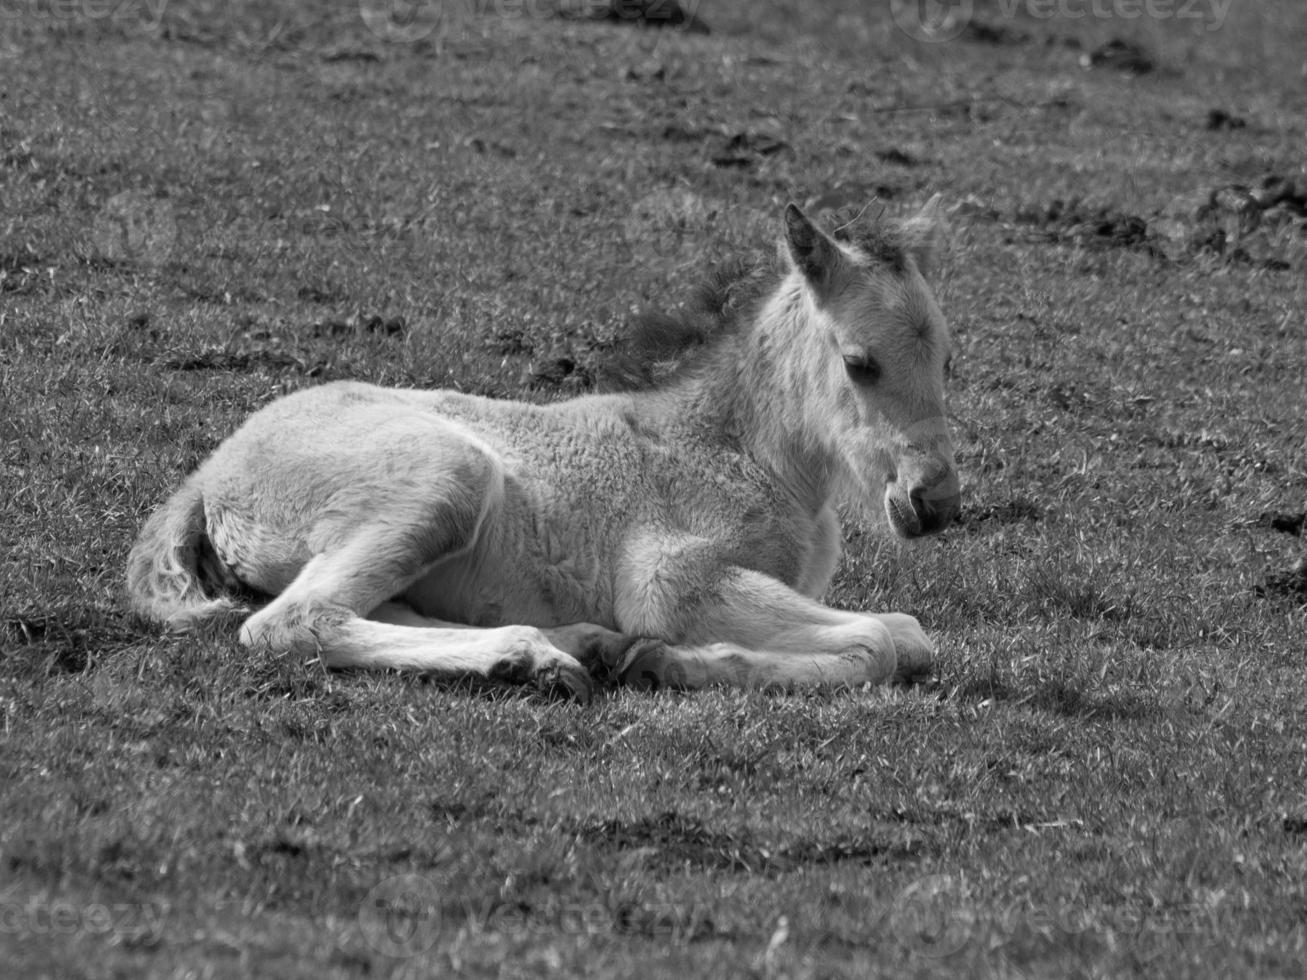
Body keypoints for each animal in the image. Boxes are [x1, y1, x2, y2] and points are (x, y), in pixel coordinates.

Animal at [124, 201, 961, 700]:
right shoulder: (670, 580)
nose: (934, 500)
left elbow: (906, 636)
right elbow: (885, 638)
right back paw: (540, 658)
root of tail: (210, 472)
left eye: (946, 357)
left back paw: (570, 647)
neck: (734, 451)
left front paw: (652, 658)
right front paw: (668, 661)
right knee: (291, 622)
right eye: (859, 362)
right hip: (447, 479)